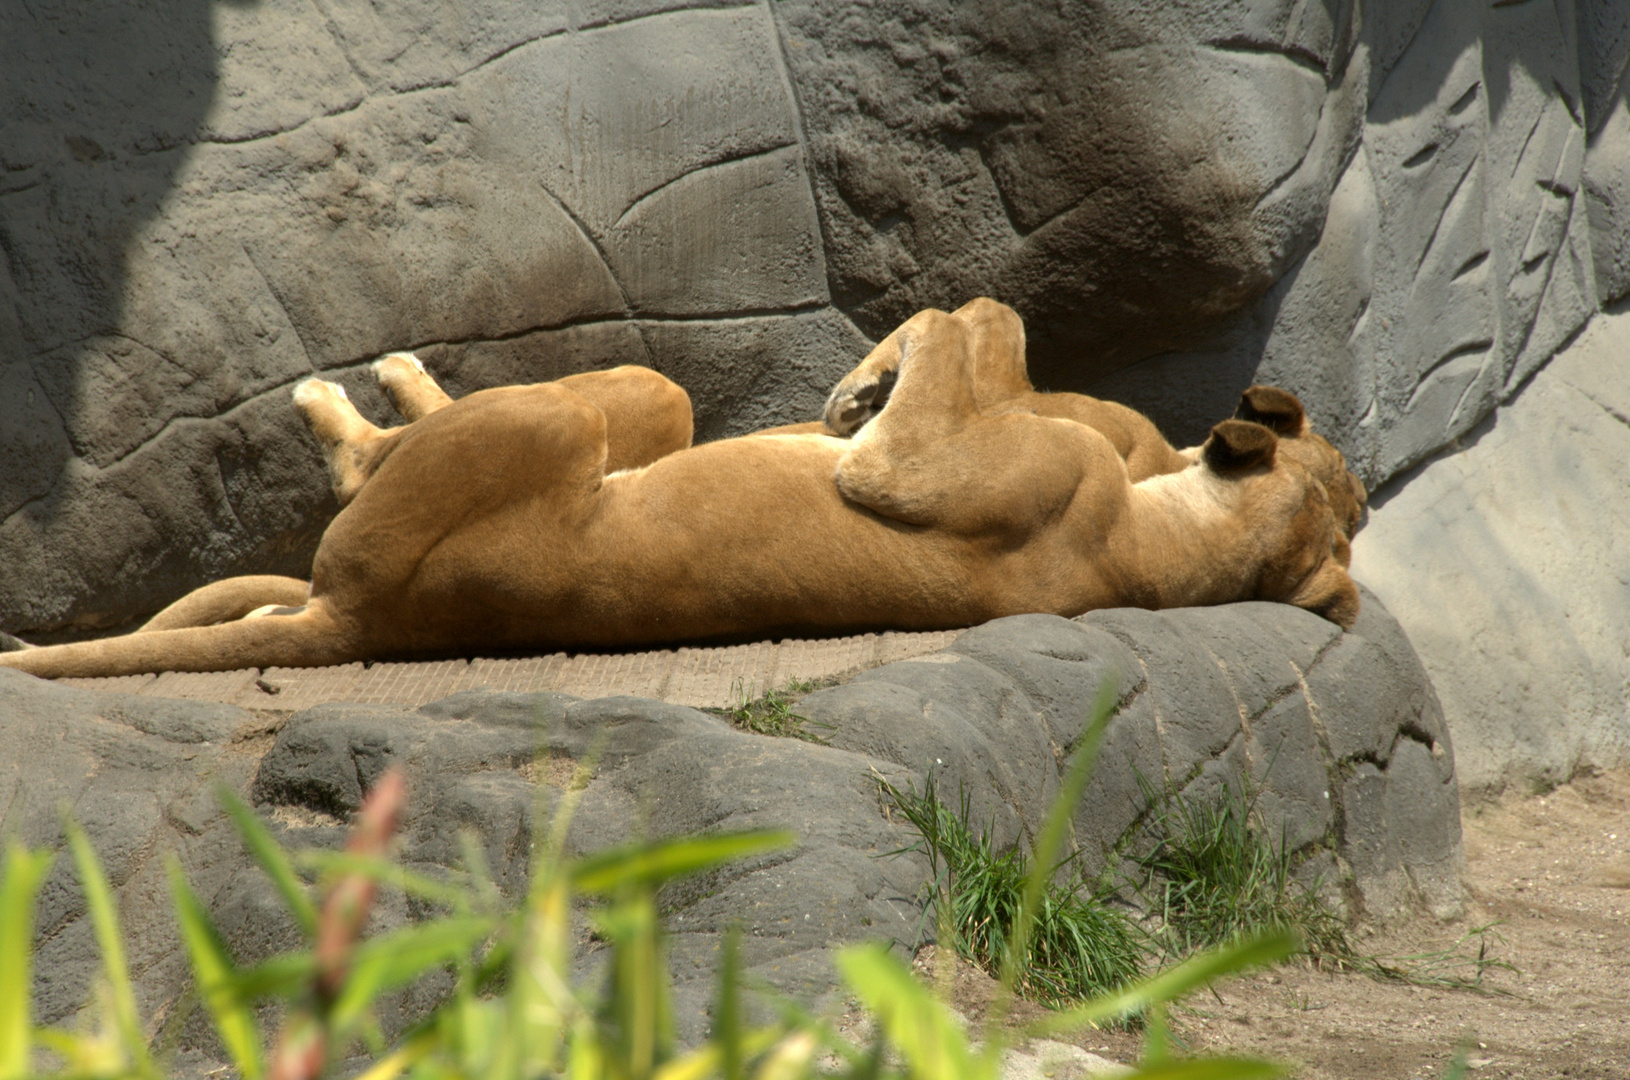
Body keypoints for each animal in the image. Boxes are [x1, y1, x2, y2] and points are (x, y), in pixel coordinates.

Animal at [0, 299, 1362, 680]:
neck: (1160, 537)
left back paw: (349, 391)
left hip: (567, 420)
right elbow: (1002, 332)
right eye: (1349, 497)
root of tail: (368, 625)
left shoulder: (919, 474)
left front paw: (859, 387)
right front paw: (861, 381)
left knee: (360, 457)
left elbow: (962, 326)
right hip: (650, 407)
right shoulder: (1090, 435)